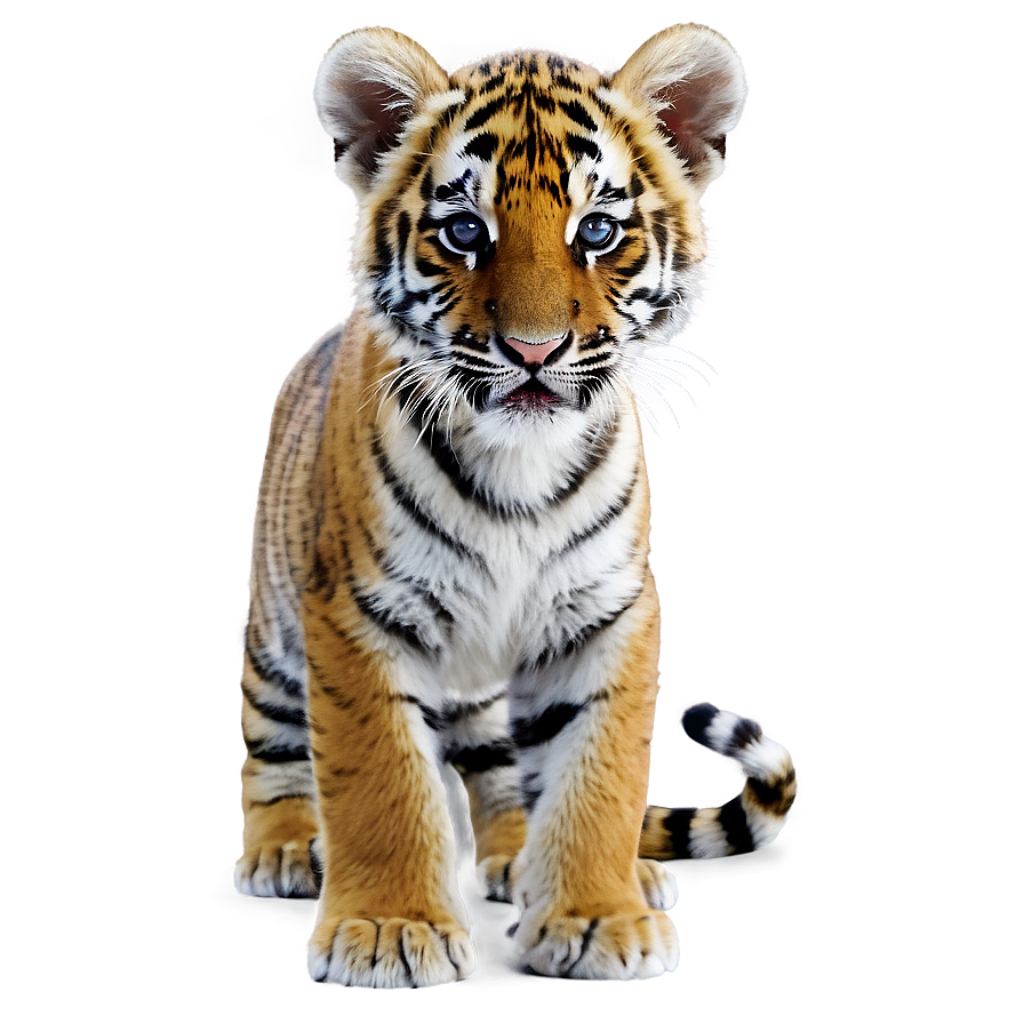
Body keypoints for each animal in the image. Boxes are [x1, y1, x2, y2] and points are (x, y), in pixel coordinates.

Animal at [234, 22, 799, 988]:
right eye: (465, 231)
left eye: (598, 230)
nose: (534, 351)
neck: (518, 472)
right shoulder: (354, 614)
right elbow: (378, 778)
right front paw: (388, 927)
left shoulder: (608, 611)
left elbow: (599, 775)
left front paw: (599, 915)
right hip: (275, 621)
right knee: (269, 738)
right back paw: (281, 847)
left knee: (506, 774)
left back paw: (545, 863)